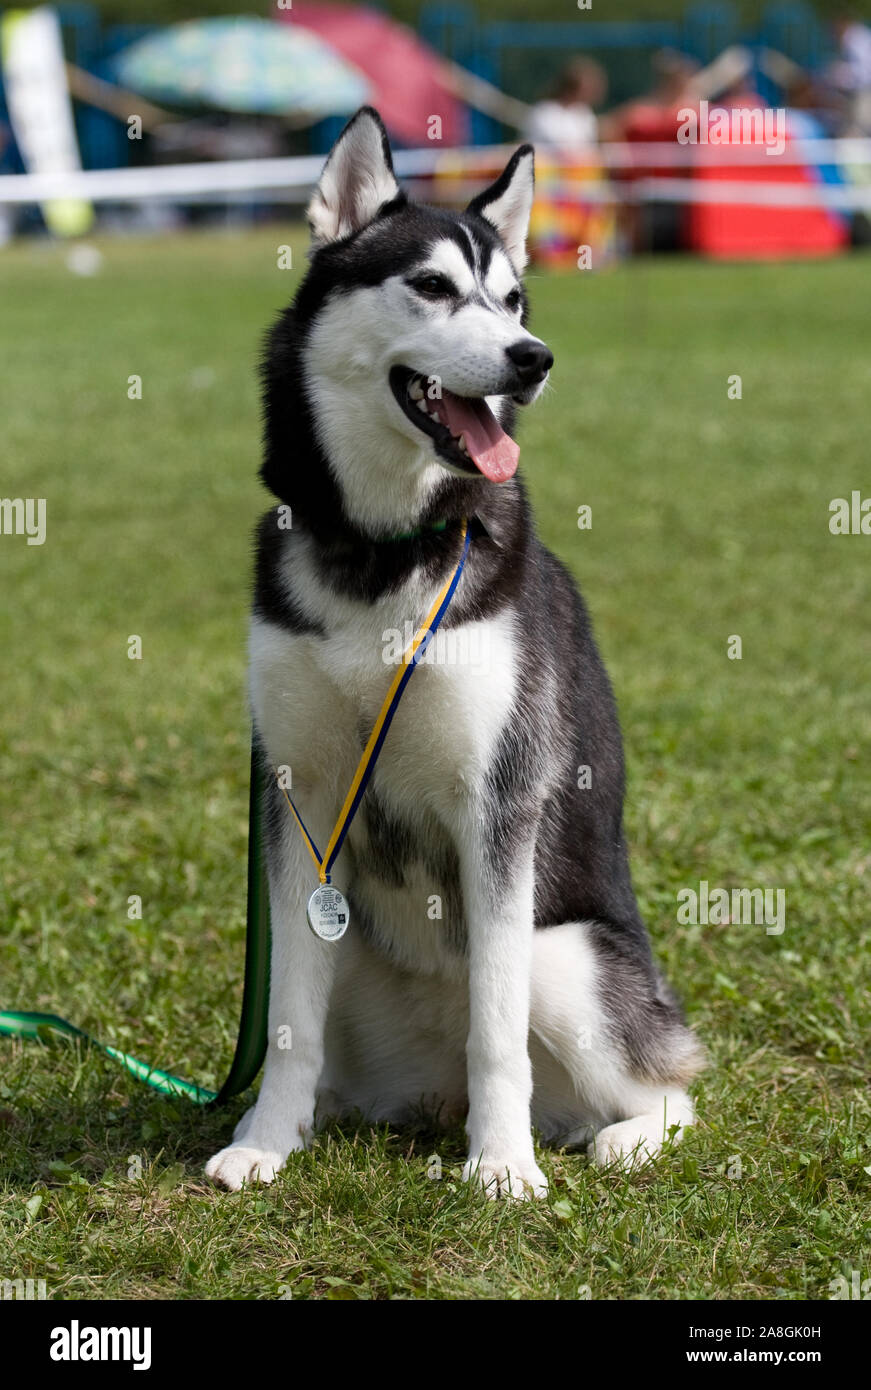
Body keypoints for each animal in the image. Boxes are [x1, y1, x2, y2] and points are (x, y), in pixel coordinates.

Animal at [208, 108, 705, 1195]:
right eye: (432, 287)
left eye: (513, 298)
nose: (533, 357)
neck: (383, 549)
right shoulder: (299, 799)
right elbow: (287, 1020)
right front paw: (263, 1143)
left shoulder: (498, 801)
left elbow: (496, 1030)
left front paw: (503, 1167)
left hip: (566, 956)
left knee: (668, 1088)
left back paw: (614, 1137)